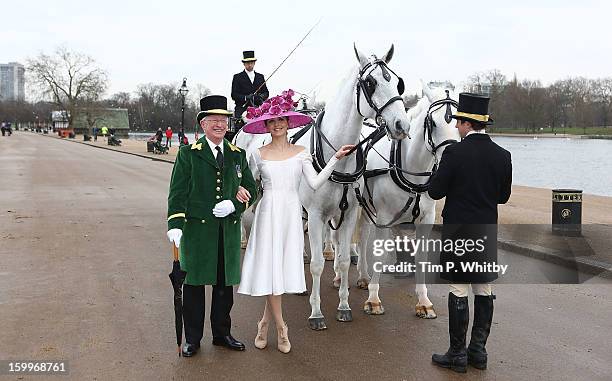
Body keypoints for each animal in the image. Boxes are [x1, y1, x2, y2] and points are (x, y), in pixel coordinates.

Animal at [292, 44, 412, 328]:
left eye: (398, 83)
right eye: (370, 82)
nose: (402, 125)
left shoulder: (347, 213)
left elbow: (346, 259)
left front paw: (344, 306)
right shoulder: (315, 215)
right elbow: (316, 264)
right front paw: (316, 312)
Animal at [354, 84, 460, 318]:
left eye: (460, 123)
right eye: (433, 123)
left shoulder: (426, 219)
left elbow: (421, 256)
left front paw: (424, 301)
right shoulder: (384, 216)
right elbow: (380, 254)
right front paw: (373, 299)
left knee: (364, 233)